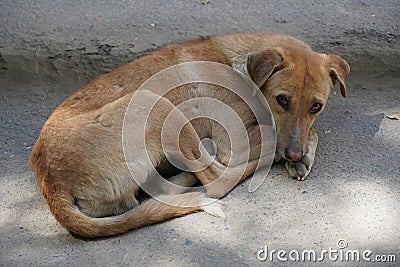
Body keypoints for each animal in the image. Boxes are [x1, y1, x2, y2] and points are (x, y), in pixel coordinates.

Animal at [30, 31, 350, 239]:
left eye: (317, 106)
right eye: (282, 100)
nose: (294, 153)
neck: (241, 69)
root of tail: (52, 183)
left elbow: (311, 130)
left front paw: (302, 158)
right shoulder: (233, 140)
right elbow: (276, 135)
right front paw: (293, 156)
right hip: (157, 103)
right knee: (217, 181)